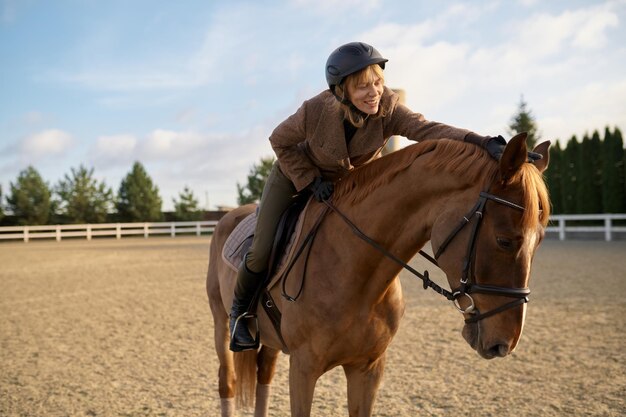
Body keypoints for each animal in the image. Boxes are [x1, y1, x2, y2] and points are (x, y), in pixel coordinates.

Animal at [205, 133, 544, 416]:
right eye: (505, 240)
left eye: (539, 239)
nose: (505, 343)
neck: (357, 275)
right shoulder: (303, 369)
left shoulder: (367, 369)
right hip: (221, 323)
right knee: (227, 380)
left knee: (264, 374)